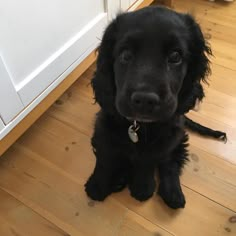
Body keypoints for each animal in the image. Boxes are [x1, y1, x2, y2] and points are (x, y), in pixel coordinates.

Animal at [85, 6, 226, 208]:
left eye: (175, 56)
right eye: (125, 55)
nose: (145, 100)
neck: (139, 126)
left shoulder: (164, 140)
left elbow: (149, 162)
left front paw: (143, 188)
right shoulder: (105, 128)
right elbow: (105, 158)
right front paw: (97, 186)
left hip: (177, 136)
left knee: (171, 163)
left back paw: (173, 193)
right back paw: (119, 179)